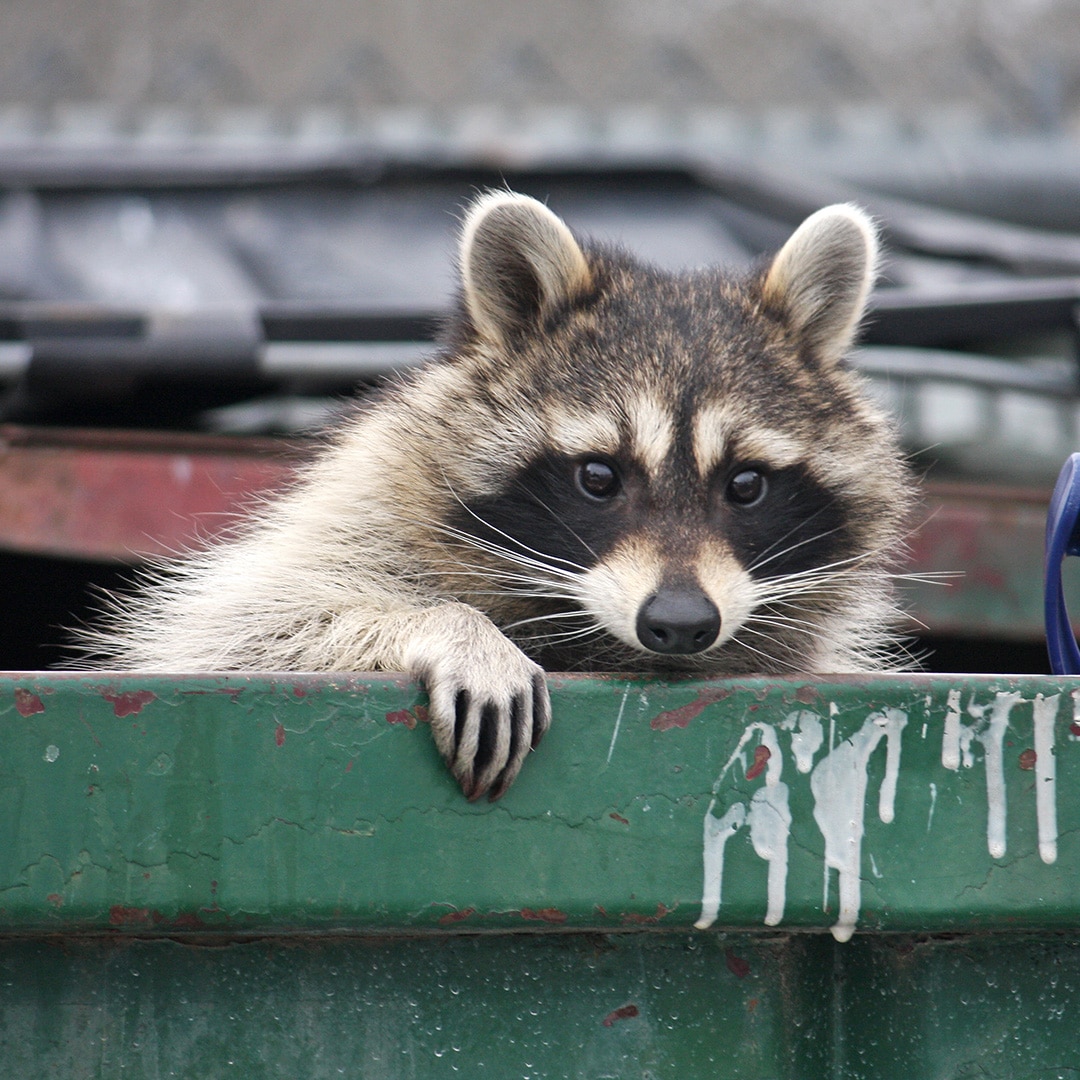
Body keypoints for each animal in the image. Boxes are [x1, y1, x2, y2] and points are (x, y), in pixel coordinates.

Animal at [79, 192, 915, 803]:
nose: (680, 622)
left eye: (745, 484)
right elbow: (245, 629)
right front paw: (450, 626)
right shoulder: (355, 509)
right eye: (598, 477)